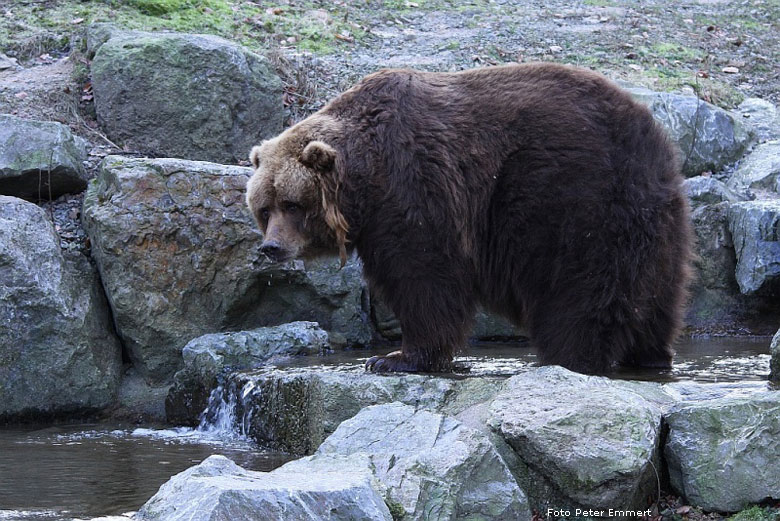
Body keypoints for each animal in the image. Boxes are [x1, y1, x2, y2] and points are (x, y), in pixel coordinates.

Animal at [247, 63, 692, 374]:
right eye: (264, 208)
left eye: (292, 203)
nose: (271, 247)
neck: (366, 179)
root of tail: (651, 137)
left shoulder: (414, 189)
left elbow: (424, 276)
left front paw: (395, 357)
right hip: (660, 220)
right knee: (658, 297)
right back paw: (651, 355)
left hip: (579, 199)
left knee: (582, 289)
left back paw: (567, 357)